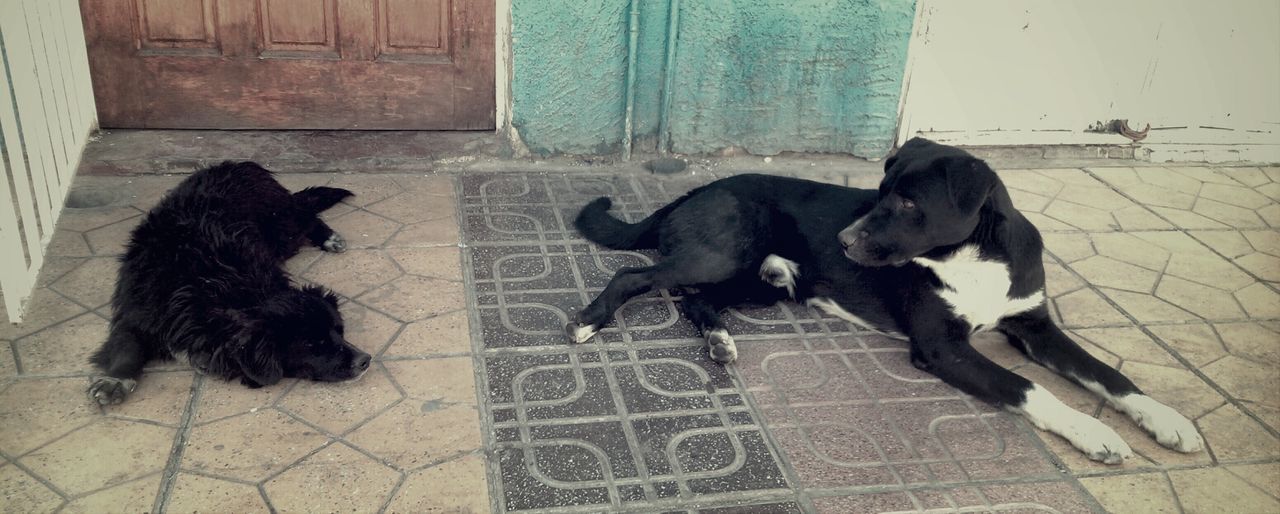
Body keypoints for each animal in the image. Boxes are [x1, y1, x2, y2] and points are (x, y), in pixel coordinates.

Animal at [88, 160, 371, 406]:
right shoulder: (137, 312)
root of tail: (242, 165)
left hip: (282, 228)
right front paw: (115, 380)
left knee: (305, 216)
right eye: (313, 345)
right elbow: (127, 346)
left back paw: (328, 237)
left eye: (340, 331)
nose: (364, 360)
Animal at [570, 138, 1198, 462]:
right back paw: (587, 322)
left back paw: (721, 342)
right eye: (879, 193)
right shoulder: (943, 348)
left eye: (909, 203)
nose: (844, 242)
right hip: (721, 256)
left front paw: (1166, 419)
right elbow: (1029, 387)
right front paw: (1093, 432)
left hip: (761, 282)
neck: (974, 257)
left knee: (697, 300)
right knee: (634, 276)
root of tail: (697, 190)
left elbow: (1108, 374)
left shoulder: (1036, 326)